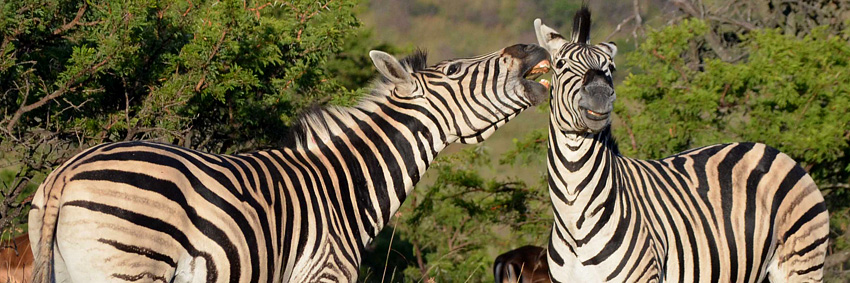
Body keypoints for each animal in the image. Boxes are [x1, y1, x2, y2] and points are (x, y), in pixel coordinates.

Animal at [26, 45, 548, 283]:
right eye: (457, 69)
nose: (531, 49)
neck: (345, 187)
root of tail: (67, 172)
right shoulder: (324, 275)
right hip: (128, 267)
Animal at [532, 7, 824, 282]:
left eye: (610, 68)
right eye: (560, 64)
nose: (600, 95)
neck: (574, 218)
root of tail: (771, 150)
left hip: (801, 263)